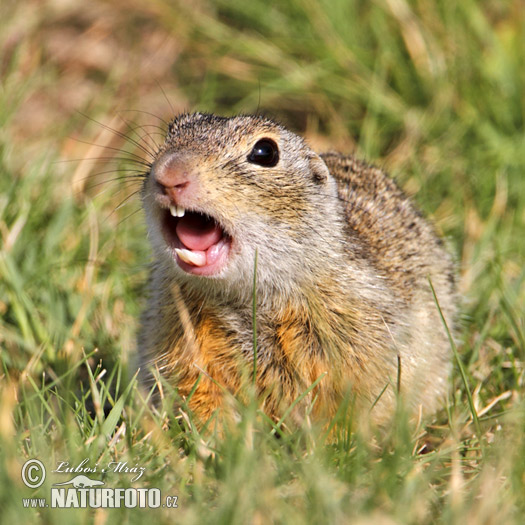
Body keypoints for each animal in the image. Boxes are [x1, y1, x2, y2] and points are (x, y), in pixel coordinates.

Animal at [137, 113, 456, 426]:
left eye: (265, 152)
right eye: (172, 130)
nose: (169, 174)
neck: (241, 297)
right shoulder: (178, 337)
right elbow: (200, 393)